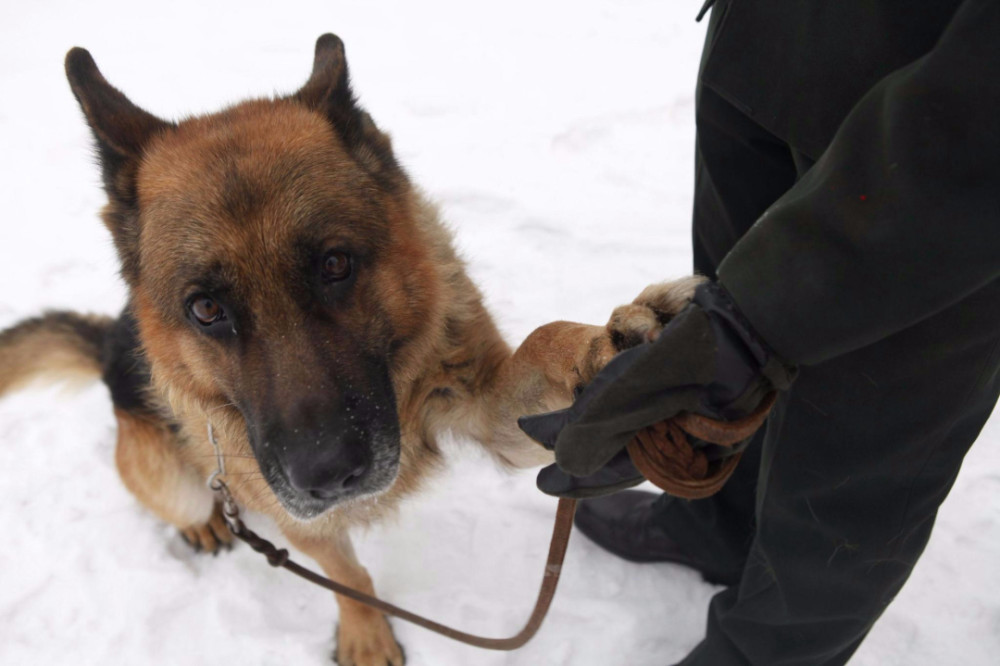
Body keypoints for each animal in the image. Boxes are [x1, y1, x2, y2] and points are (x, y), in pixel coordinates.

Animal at [0, 35, 700, 660]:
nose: (328, 475)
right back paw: (203, 520)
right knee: (179, 497)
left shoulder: (492, 411)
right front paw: (366, 634)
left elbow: (544, 341)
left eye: (335, 264)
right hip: (178, 479)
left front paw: (603, 347)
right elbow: (347, 576)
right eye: (205, 309)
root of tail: (109, 344)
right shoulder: (293, 515)